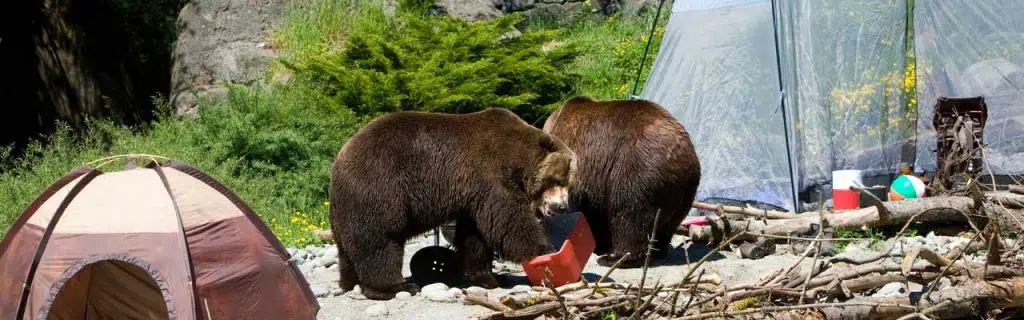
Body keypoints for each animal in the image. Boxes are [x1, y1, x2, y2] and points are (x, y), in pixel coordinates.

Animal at [331, 107, 581, 299]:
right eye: (558, 179)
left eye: (568, 183)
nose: (561, 207)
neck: (515, 159)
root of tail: (339, 160)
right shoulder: (489, 175)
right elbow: (509, 221)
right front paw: (545, 250)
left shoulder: (473, 195)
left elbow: (474, 235)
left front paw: (491, 276)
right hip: (380, 188)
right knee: (381, 241)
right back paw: (395, 287)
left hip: (348, 206)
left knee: (349, 246)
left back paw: (349, 281)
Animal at [540, 96, 700, 268]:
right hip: (685, 192)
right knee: (668, 224)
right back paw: (658, 250)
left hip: (638, 169)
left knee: (631, 216)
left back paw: (616, 258)